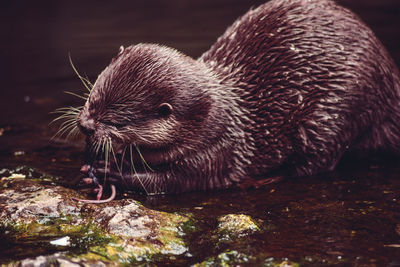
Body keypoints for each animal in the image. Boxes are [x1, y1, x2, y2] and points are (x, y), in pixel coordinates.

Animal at [67, 0, 400, 202]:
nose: (85, 125)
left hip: (334, 115)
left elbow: (171, 183)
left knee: (316, 163)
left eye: (116, 121)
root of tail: (389, 79)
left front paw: (112, 172)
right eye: (93, 98)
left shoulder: (217, 150)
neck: (212, 118)